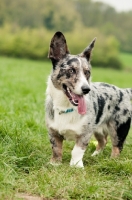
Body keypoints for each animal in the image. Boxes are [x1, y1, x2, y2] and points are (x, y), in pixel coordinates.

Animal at [44, 31, 131, 168]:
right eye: (71, 70)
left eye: (87, 72)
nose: (86, 89)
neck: (66, 106)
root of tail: (124, 91)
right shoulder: (53, 132)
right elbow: (56, 149)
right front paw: (55, 164)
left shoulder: (85, 134)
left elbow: (76, 151)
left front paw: (76, 166)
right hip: (99, 129)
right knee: (103, 141)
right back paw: (96, 155)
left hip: (118, 129)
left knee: (117, 147)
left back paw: (112, 161)